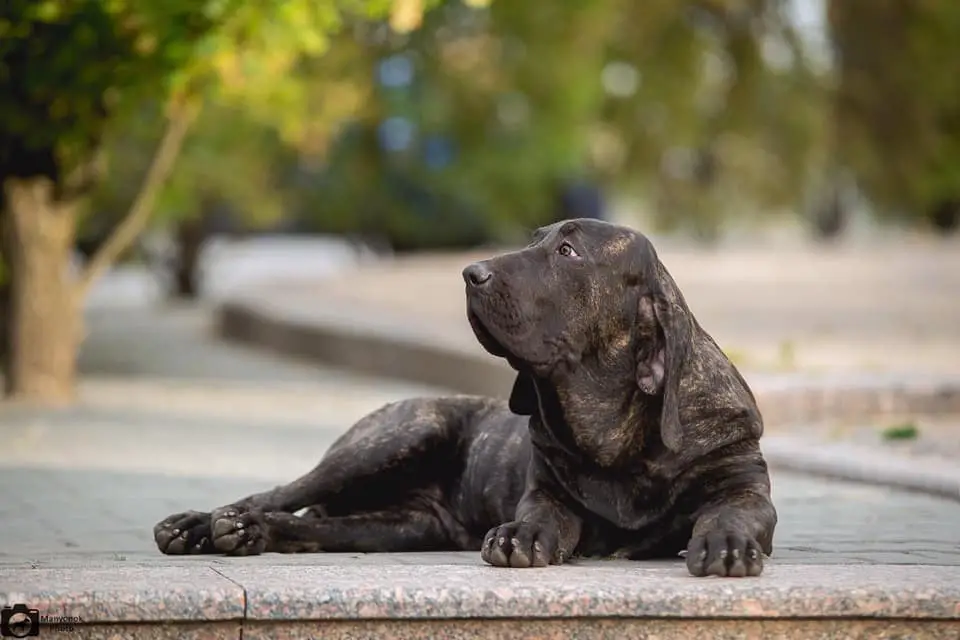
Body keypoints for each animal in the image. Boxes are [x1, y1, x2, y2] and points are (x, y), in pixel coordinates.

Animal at [154, 218, 776, 576]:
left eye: (568, 252)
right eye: (533, 242)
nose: (470, 273)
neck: (612, 434)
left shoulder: (743, 487)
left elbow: (735, 512)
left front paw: (724, 541)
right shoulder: (546, 493)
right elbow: (541, 514)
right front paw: (522, 535)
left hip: (400, 525)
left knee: (307, 526)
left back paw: (251, 533)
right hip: (397, 434)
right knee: (276, 494)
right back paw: (203, 524)